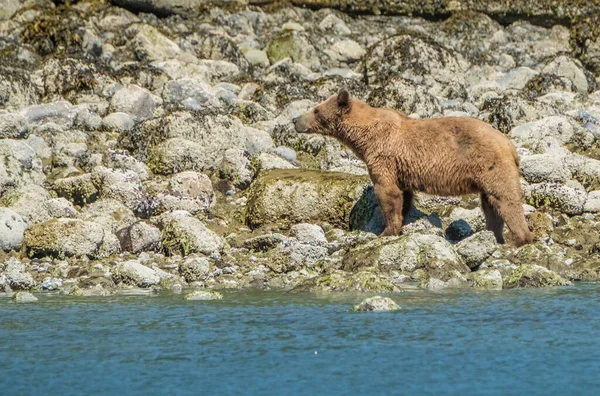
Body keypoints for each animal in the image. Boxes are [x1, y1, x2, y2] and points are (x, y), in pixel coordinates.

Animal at [292, 89, 532, 248]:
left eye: (316, 110)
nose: (295, 119)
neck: (364, 136)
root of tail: (509, 144)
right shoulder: (399, 167)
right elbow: (403, 195)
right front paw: (401, 221)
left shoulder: (383, 156)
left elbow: (387, 192)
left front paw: (386, 231)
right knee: (491, 205)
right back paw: (495, 237)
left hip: (490, 165)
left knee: (505, 198)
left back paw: (520, 239)